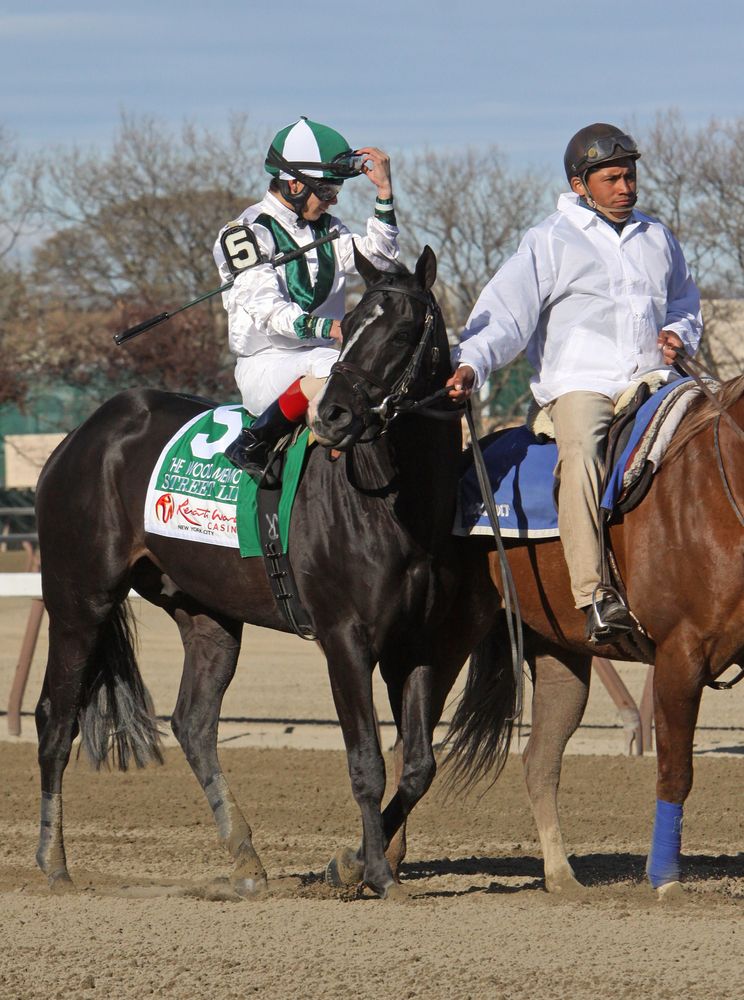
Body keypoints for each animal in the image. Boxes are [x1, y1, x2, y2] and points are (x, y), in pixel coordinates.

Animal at [33, 245, 492, 901]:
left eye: (403, 332)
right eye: (352, 326)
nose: (332, 414)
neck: (393, 505)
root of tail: (82, 434)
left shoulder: (421, 644)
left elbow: (419, 765)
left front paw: (351, 863)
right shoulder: (345, 639)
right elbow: (367, 762)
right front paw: (376, 872)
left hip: (206, 613)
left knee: (193, 723)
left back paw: (245, 856)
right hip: (79, 599)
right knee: (56, 717)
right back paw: (54, 861)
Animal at [445, 375, 744, 897]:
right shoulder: (680, 656)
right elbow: (675, 772)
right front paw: (665, 881)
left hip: (559, 657)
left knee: (539, 761)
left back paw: (561, 877)